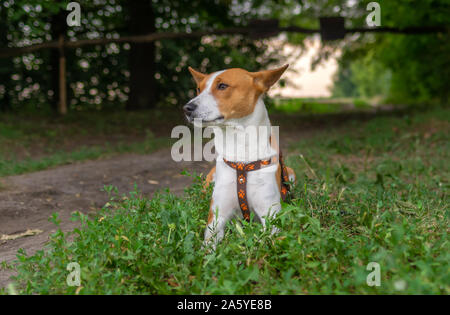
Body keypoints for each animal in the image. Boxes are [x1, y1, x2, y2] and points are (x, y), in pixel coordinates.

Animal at [183, 64, 296, 247]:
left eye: (222, 86)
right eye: (199, 89)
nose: (187, 108)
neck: (241, 152)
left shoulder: (271, 217)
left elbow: (264, 242)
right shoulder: (216, 218)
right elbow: (207, 247)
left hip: (291, 175)